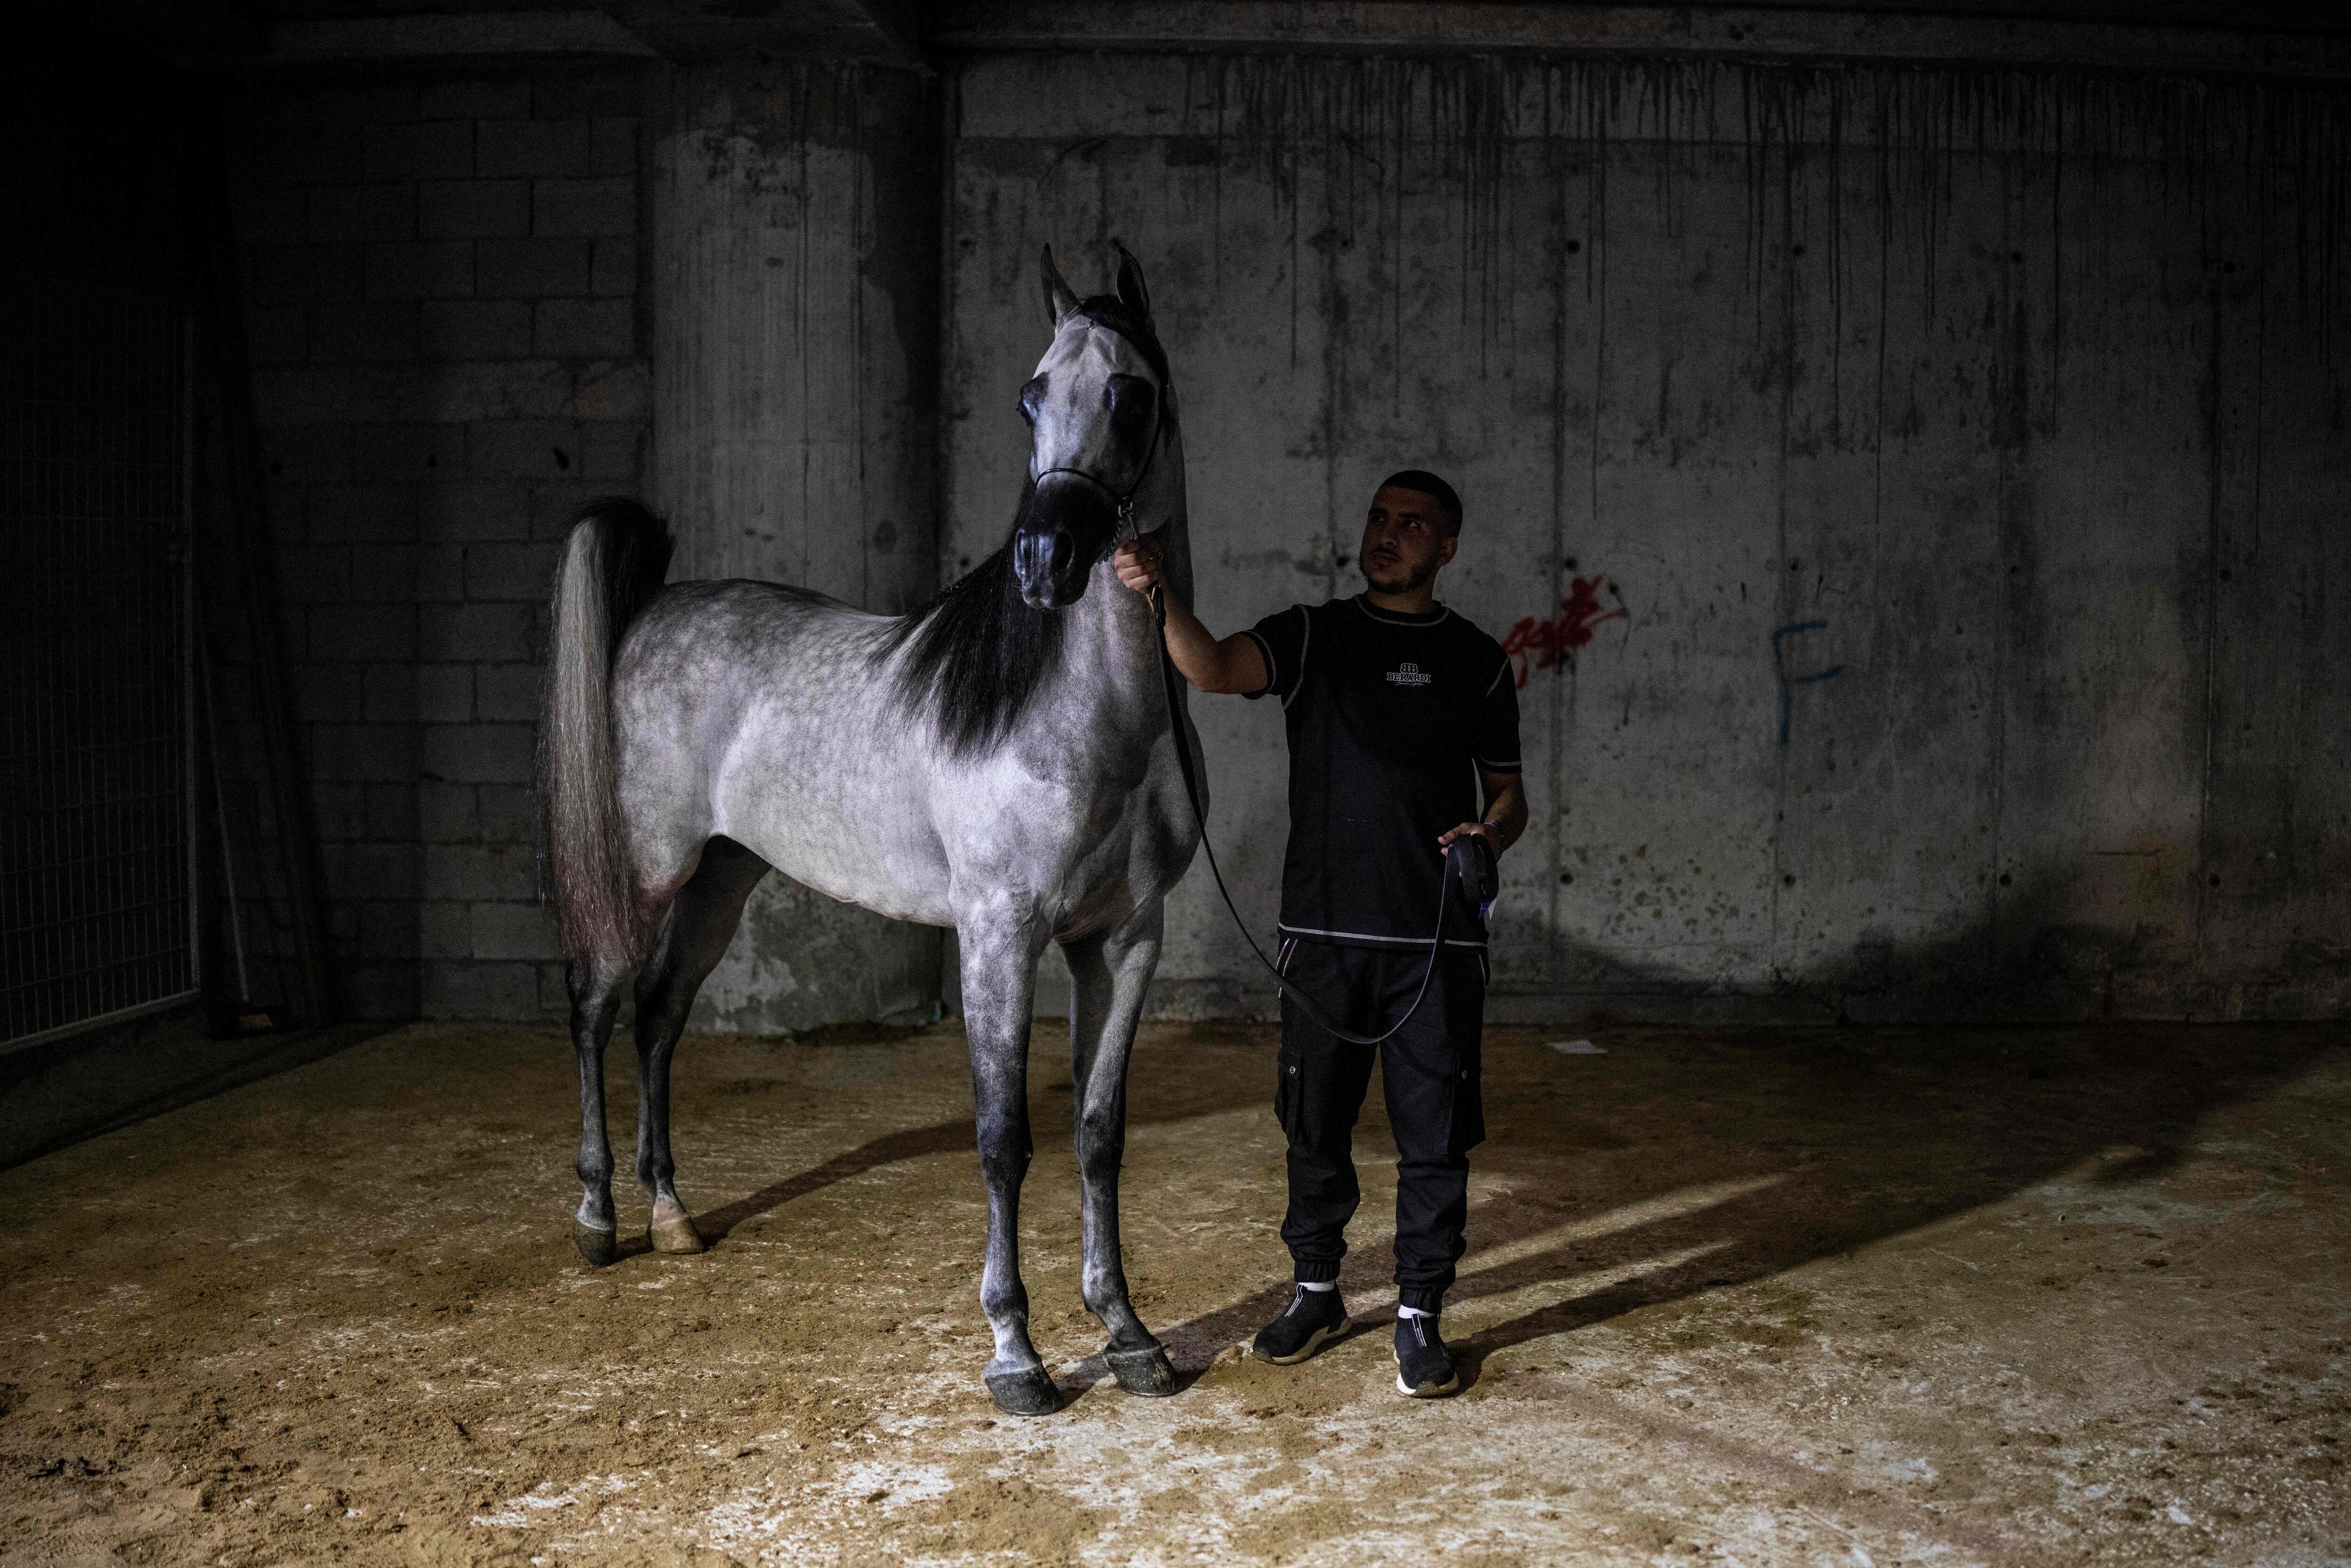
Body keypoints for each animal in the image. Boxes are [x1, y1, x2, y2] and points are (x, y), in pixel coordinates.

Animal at [538, 243, 1201, 1416]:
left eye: (1130, 394)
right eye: (1029, 396)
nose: (1043, 560)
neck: (1087, 715)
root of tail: (652, 610)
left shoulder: (1123, 939)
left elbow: (1096, 1133)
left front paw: (1128, 1334)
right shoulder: (997, 933)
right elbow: (1003, 1137)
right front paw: (1016, 1354)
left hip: (723, 878)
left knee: (658, 1016)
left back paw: (673, 1217)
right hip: (649, 868)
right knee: (595, 1005)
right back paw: (598, 1219)